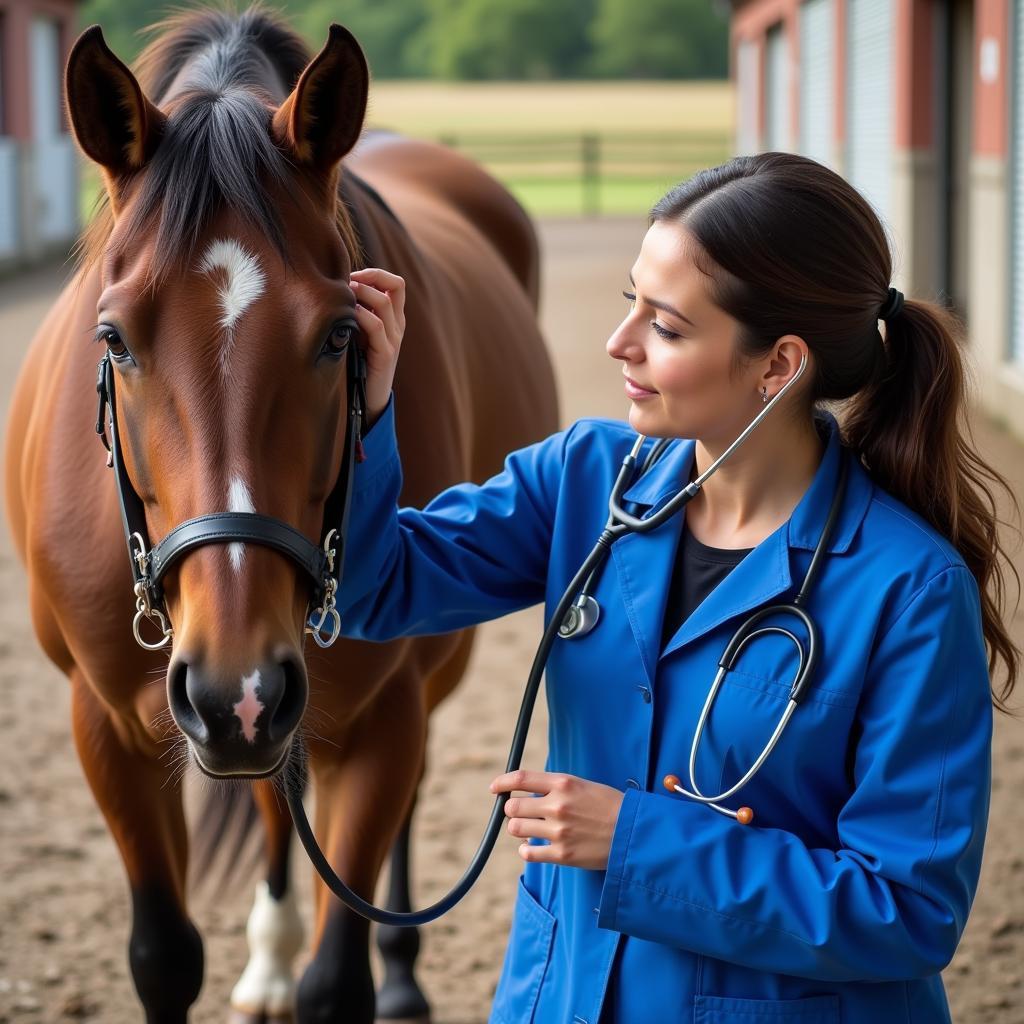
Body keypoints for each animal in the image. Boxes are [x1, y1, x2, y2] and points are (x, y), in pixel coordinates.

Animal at [2, 4, 561, 1019]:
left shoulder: (374, 724)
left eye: (340, 334)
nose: (235, 686)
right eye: (113, 338)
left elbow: (335, 978)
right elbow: (163, 957)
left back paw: (400, 976)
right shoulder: (107, 727)